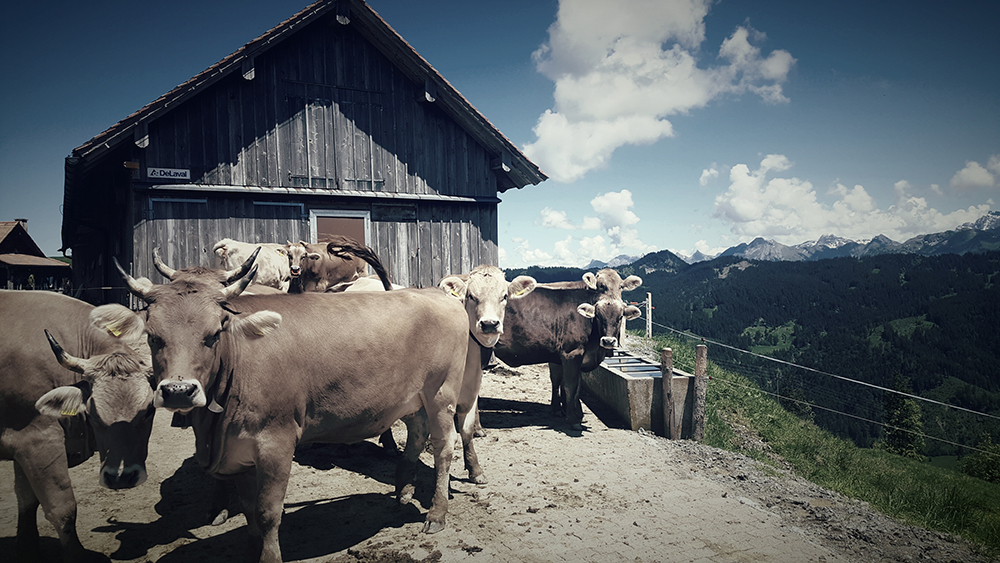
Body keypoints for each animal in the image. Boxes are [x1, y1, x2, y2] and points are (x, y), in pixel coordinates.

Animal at [0, 290, 154, 563]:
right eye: (92, 414)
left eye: (149, 411)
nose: (121, 478)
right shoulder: (37, 441)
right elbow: (61, 508)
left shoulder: (23, 446)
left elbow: (27, 501)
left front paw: (27, 551)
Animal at [118, 262, 472, 563]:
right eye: (153, 336)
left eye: (213, 334)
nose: (178, 391)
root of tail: (434, 293)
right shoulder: (239, 448)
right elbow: (248, 508)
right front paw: (251, 549)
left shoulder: (276, 441)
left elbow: (268, 512)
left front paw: (269, 555)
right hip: (412, 397)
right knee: (417, 433)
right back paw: (403, 492)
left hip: (441, 392)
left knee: (443, 449)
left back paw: (436, 513)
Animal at [490, 270, 640, 430]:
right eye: (599, 317)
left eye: (620, 317)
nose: (608, 341)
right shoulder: (571, 354)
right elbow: (569, 385)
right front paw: (572, 418)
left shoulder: (569, 358)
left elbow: (573, 385)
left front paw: (570, 412)